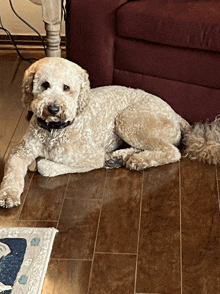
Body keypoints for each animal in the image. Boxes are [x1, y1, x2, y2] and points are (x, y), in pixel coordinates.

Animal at [0, 57, 189, 208]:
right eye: (45, 85)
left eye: (66, 87)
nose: (53, 108)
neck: (53, 130)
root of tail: (175, 114)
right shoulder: (21, 152)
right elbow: (12, 172)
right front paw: (8, 194)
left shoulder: (91, 156)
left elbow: (44, 166)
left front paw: (47, 163)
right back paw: (120, 157)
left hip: (128, 120)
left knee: (171, 151)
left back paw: (137, 160)